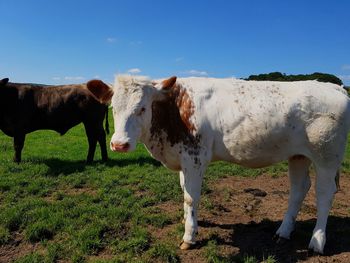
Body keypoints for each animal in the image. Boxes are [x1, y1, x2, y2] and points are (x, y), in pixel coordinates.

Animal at [94, 76, 350, 254]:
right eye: (113, 108)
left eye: (142, 108)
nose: (119, 144)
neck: (175, 109)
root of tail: (333, 87)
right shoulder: (183, 159)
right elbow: (184, 191)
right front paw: (188, 222)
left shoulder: (195, 158)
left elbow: (191, 197)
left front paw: (189, 236)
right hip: (298, 156)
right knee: (299, 188)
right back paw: (283, 232)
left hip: (327, 157)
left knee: (324, 193)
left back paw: (317, 241)